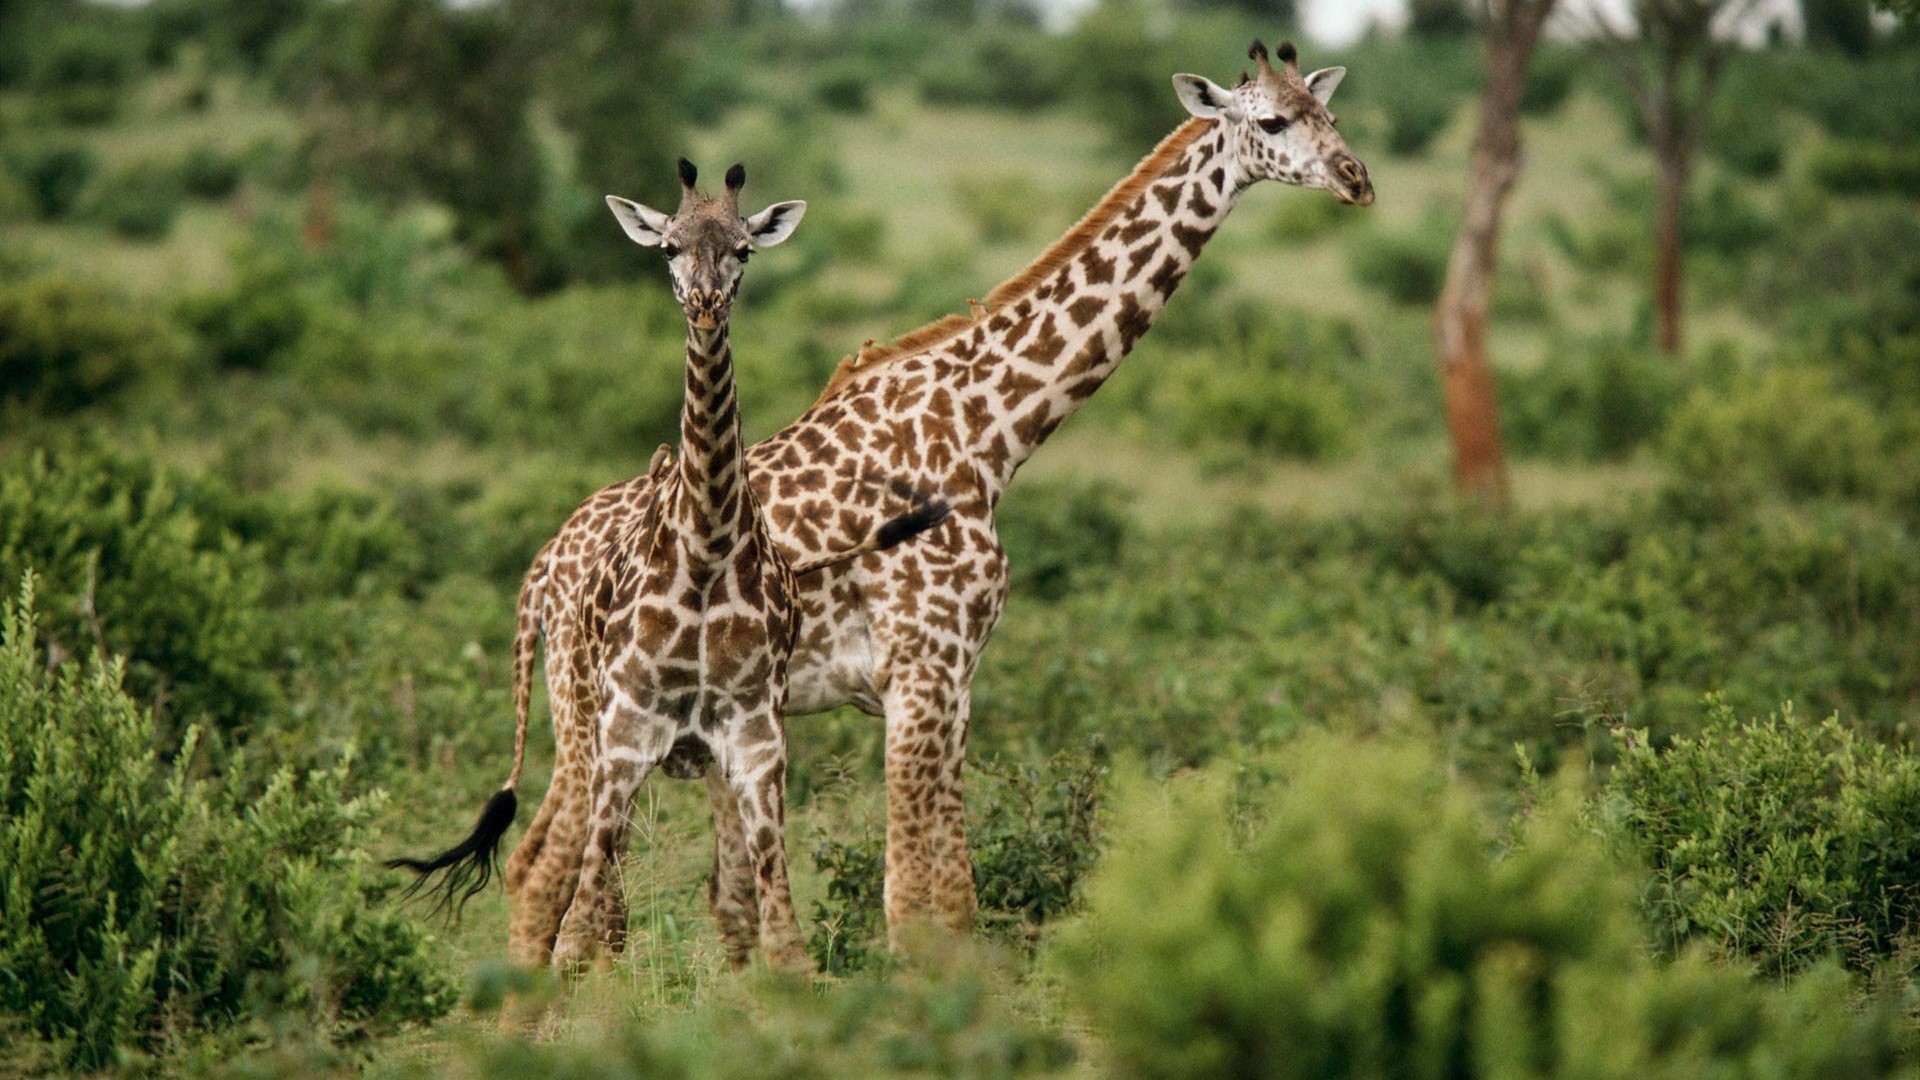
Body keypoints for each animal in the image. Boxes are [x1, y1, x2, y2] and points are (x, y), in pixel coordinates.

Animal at [389, 160, 948, 971]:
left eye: (744, 249)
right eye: (668, 248)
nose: (707, 305)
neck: (708, 547)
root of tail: (542, 566)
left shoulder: (756, 743)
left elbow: (784, 935)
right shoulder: (628, 738)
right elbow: (580, 930)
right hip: (587, 737)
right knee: (575, 899)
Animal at [502, 39, 1373, 961]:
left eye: (1329, 115)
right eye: (1271, 122)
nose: (1355, 178)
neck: (989, 433)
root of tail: (543, 569)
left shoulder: (954, 675)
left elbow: (941, 894)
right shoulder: (926, 664)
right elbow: (924, 904)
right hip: (594, 710)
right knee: (540, 871)